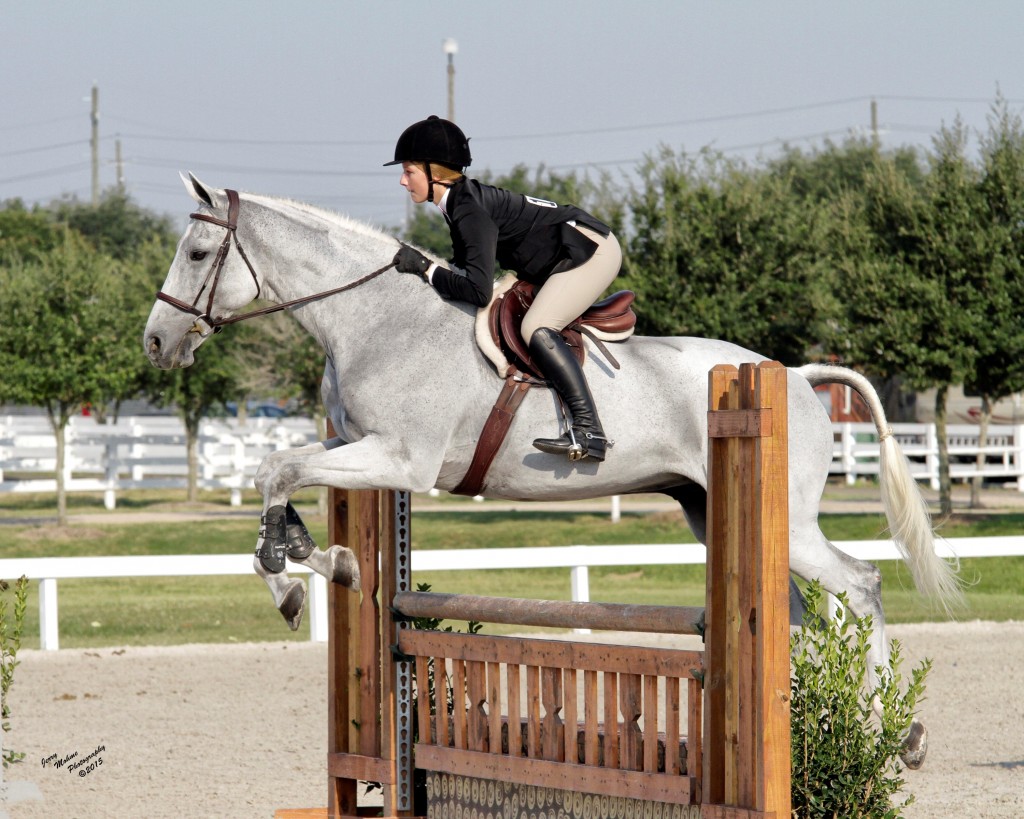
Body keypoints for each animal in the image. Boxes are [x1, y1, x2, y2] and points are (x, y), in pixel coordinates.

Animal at [142, 173, 958, 769]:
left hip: (785, 519)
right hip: (712, 509)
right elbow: (278, 474)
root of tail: (794, 376)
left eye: (195, 254)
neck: (375, 320)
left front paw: (289, 577)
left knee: (860, 585)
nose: (155, 342)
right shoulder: (357, 448)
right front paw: (320, 560)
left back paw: (896, 734)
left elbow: (276, 470)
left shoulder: (397, 456)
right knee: (803, 609)